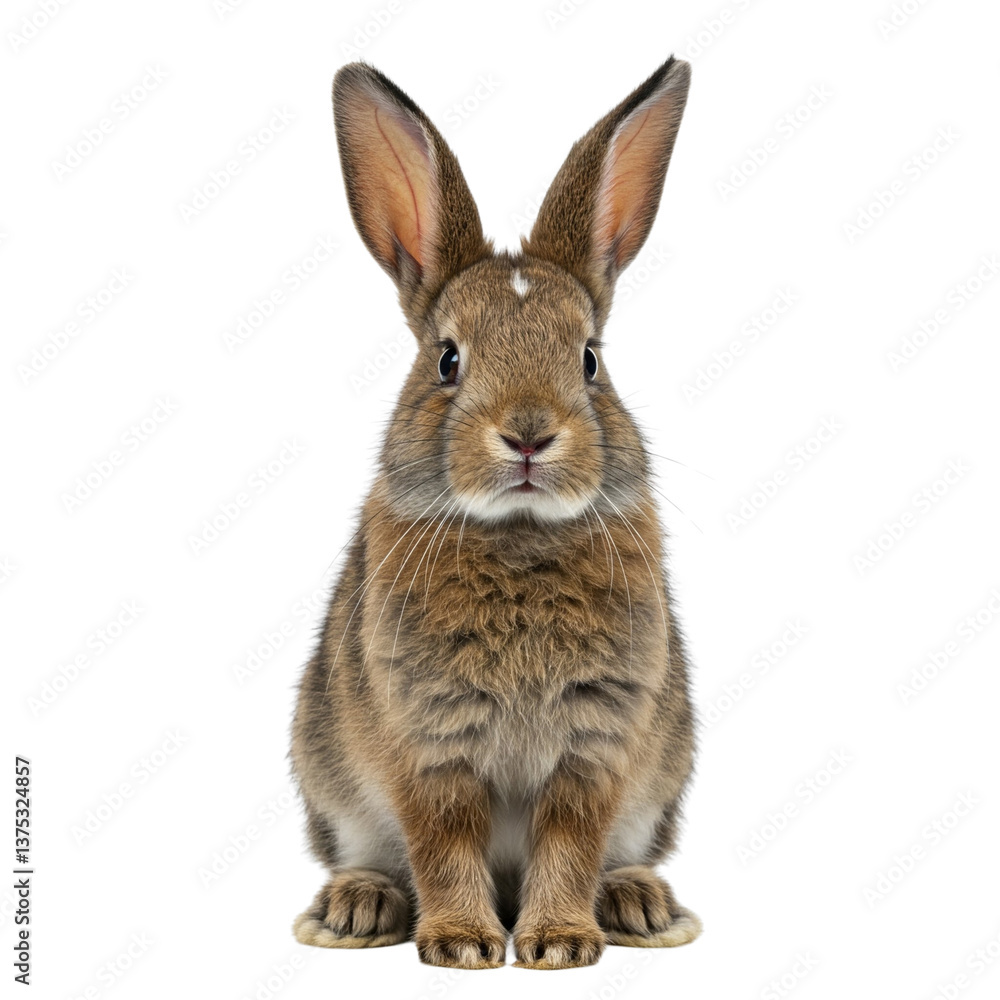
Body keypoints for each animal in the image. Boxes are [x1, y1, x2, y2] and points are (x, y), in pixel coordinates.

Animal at [290, 55, 700, 970]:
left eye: (589, 360)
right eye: (447, 360)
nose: (528, 433)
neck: (519, 537)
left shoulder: (595, 744)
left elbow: (571, 843)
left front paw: (558, 943)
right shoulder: (428, 743)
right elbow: (442, 843)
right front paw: (463, 945)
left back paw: (641, 906)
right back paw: (355, 908)